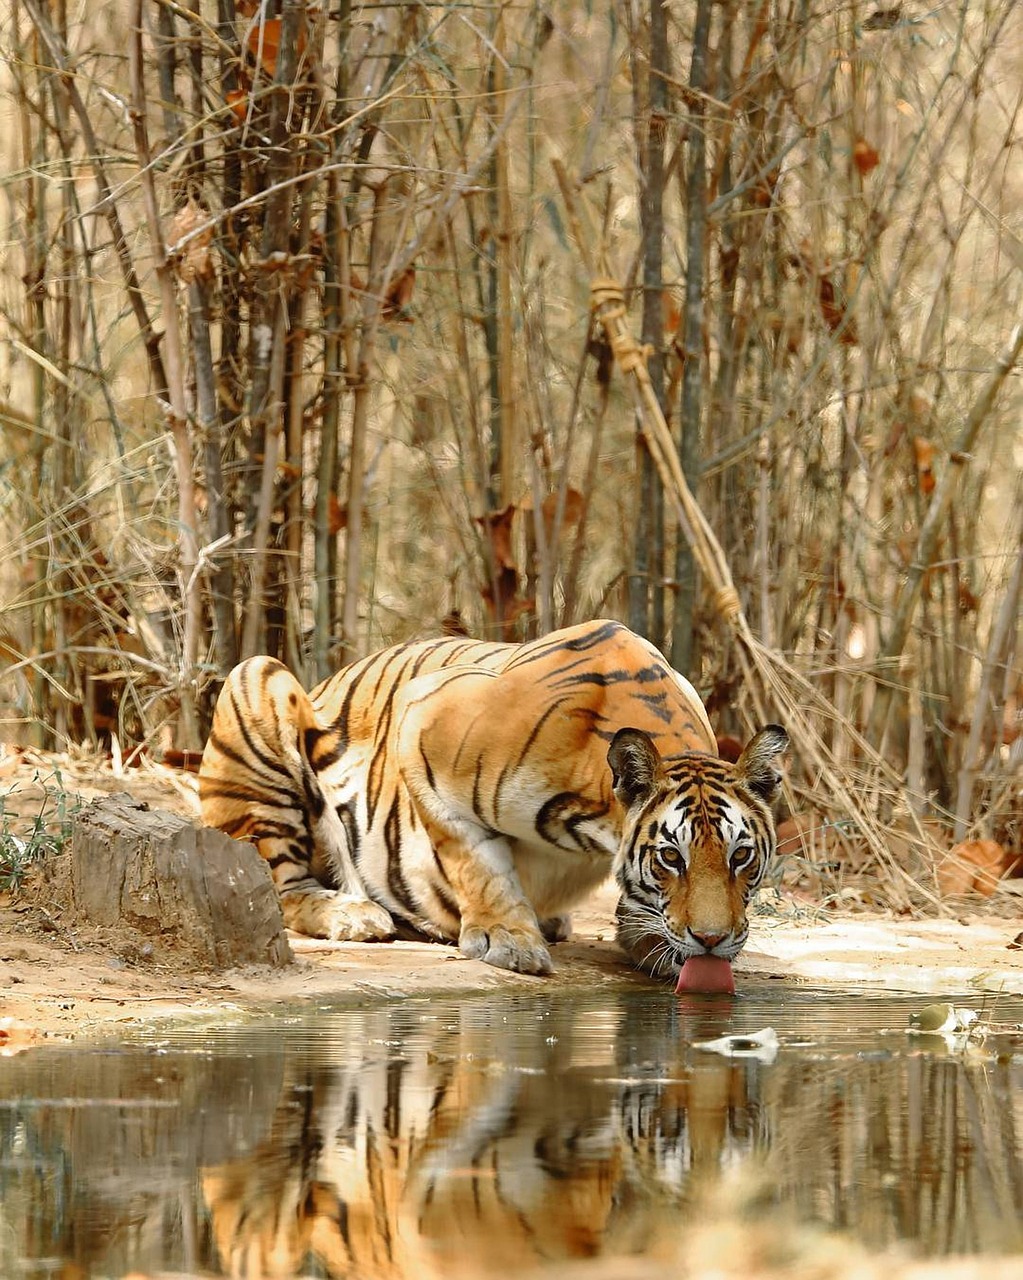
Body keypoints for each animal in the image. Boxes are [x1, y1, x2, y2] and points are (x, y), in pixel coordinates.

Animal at [198, 618, 788, 979]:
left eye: (741, 856)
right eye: (671, 857)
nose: (711, 941)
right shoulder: (421, 724)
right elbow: (476, 860)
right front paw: (510, 941)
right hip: (257, 680)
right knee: (279, 887)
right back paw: (354, 914)